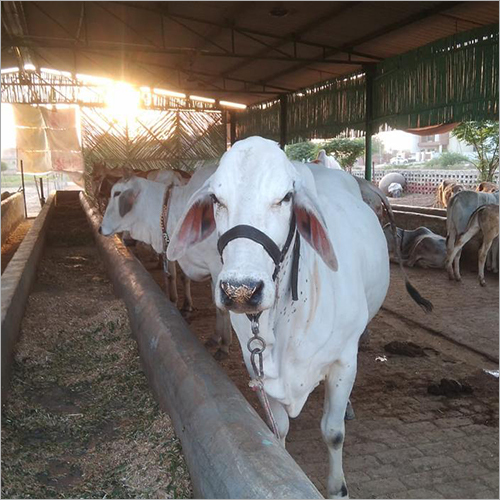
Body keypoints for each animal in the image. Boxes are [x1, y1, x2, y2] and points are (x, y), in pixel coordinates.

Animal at [100, 165, 235, 360]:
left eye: (117, 193)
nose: (100, 228)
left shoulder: (218, 267)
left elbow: (222, 307)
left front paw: (224, 346)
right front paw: (216, 337)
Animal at [167, 137, 430, 500]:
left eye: (285, 197)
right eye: (217, 200)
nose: (240, 290)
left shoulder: (343, 361)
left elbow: (333, 432)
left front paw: (338, 488)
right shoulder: (257, 368)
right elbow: (278, 429)